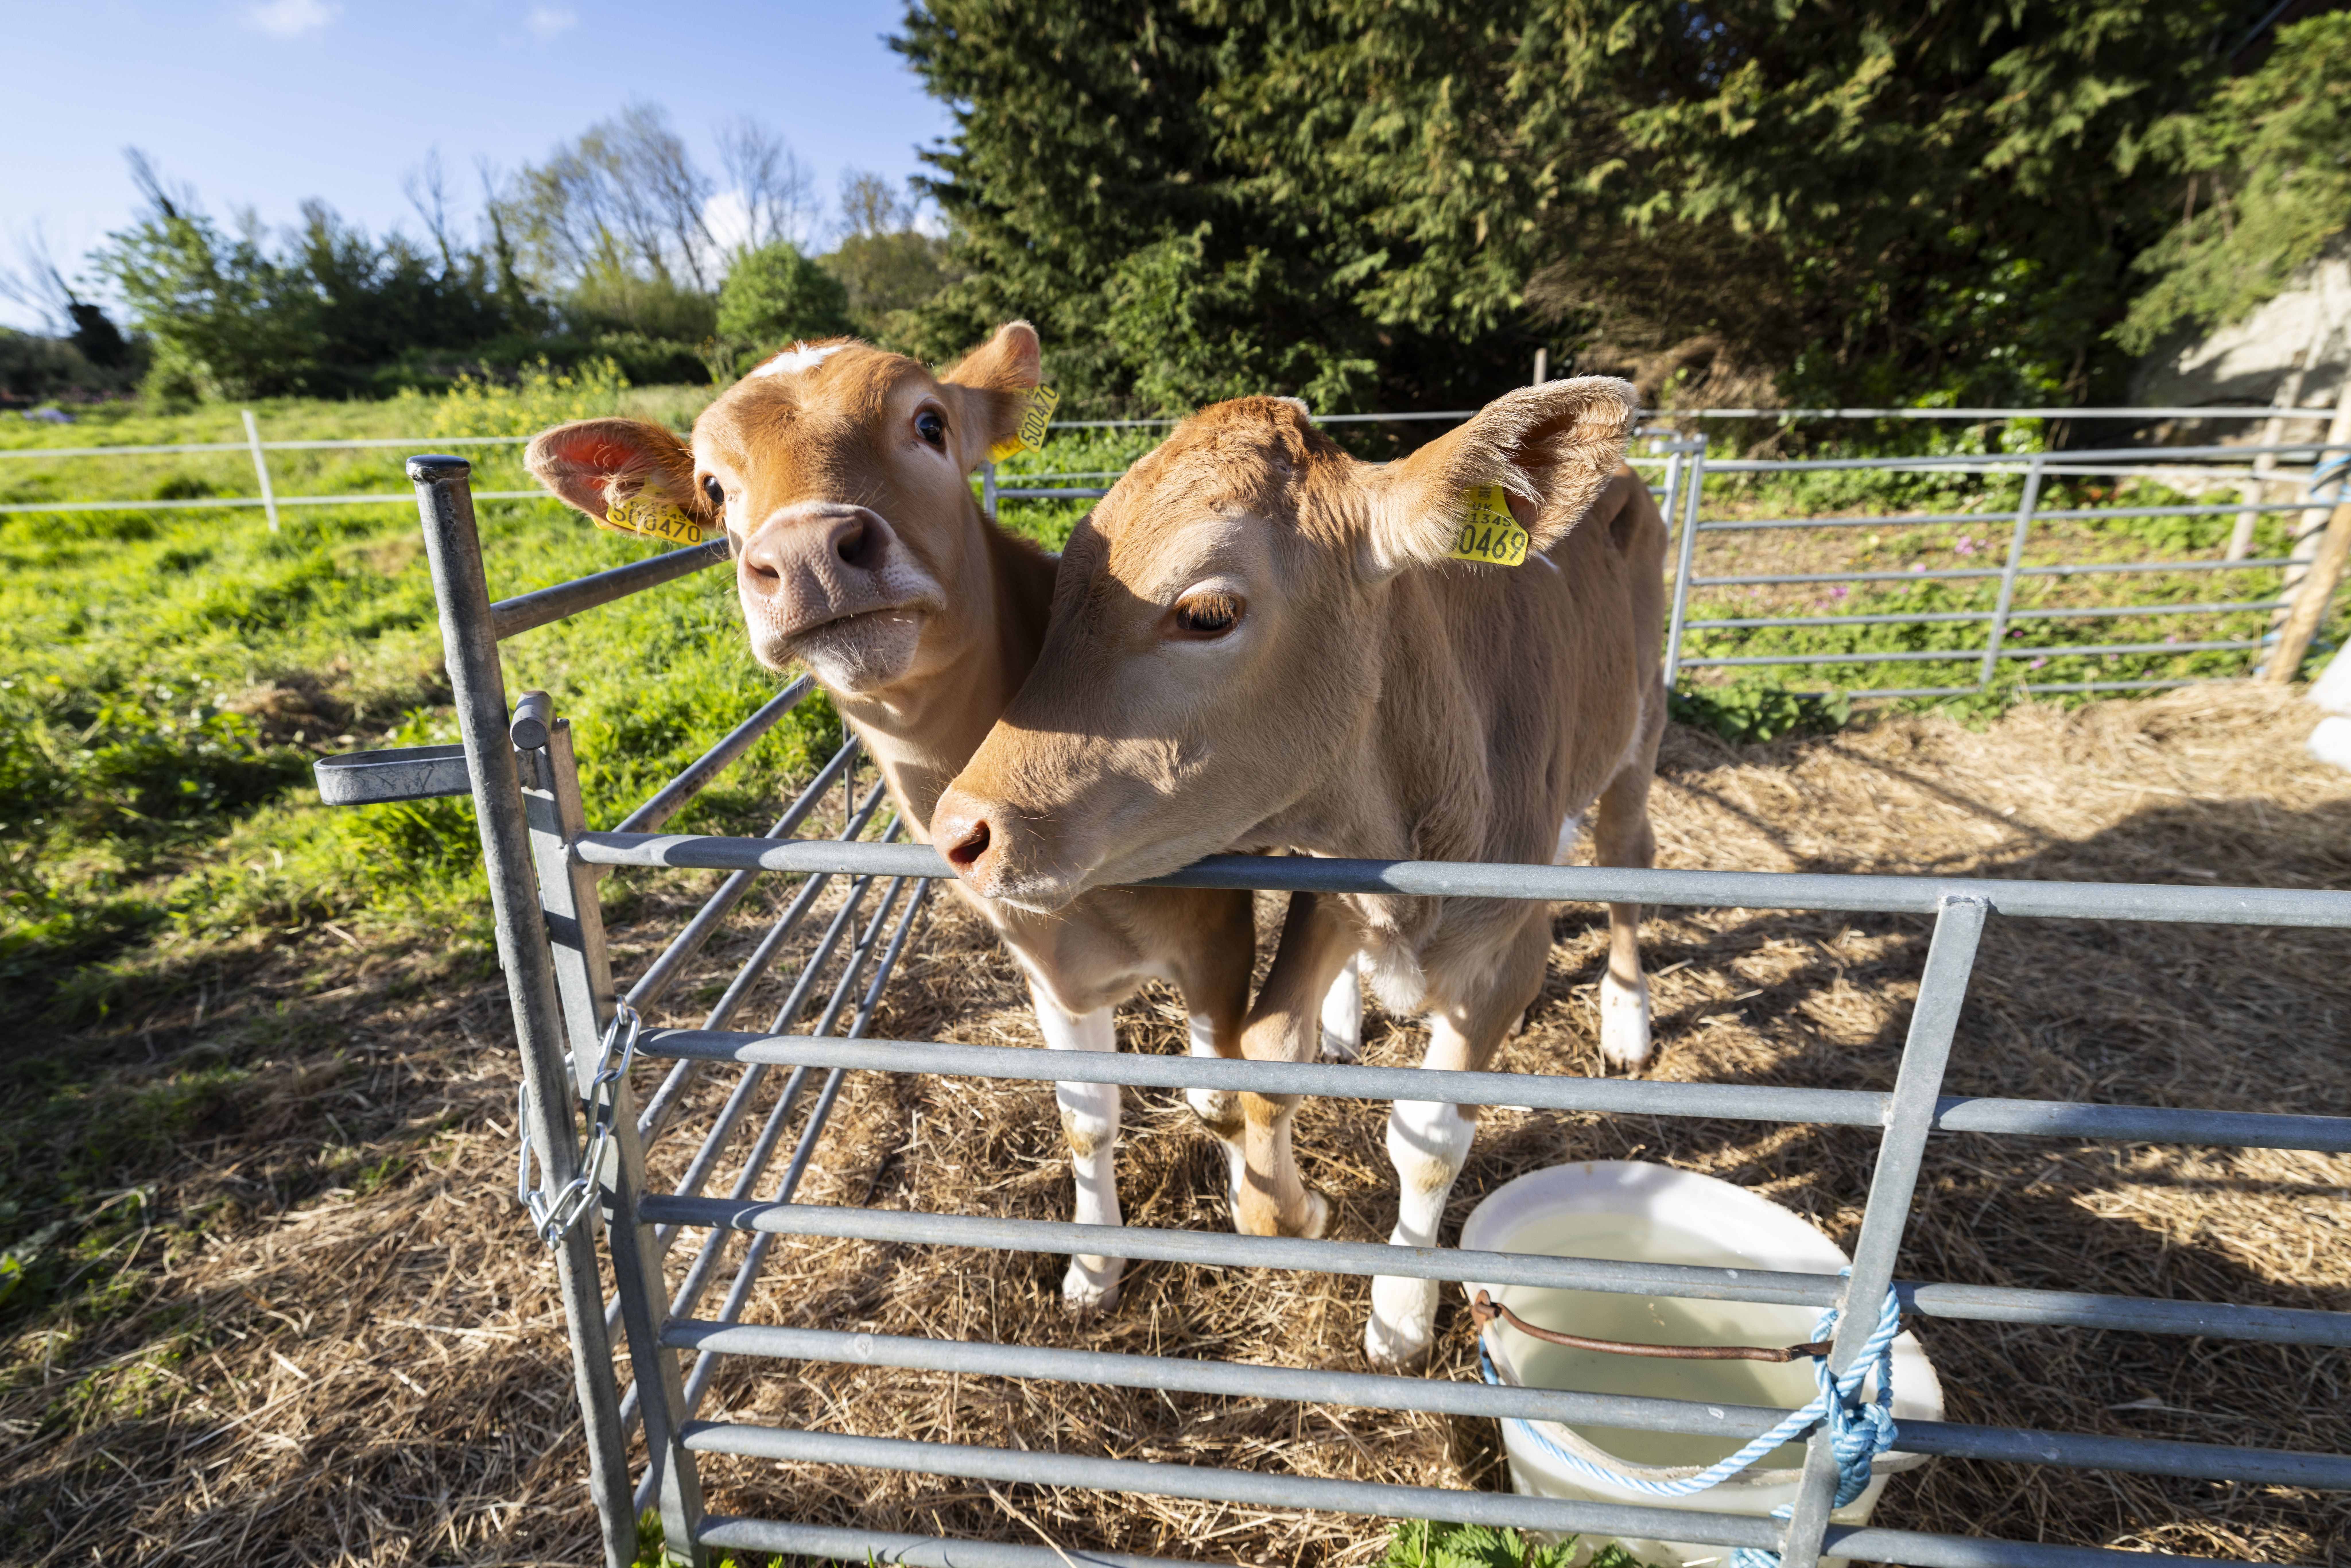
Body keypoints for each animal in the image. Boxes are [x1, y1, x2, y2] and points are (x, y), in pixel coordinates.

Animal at [523, 324, 1321, 1315]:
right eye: (713, 486)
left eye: (930, 423)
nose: (809, 553)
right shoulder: (1047, 965)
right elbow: (1087, 1119)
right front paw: (1095, 1265)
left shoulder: (1216, 934)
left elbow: (1223, 1091)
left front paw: (1265, 1212)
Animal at [928, 377, 1658, 1364]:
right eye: (1061, 595)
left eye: (1207, 614)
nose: (958, 831)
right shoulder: (1335, 892)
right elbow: (1265, 1052)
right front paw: (1294, 1208)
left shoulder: (1508, 947)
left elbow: (1430, 1139)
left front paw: (1400, 1313)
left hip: (1640, 729)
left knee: (1628, 854)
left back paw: (1626, 1019)